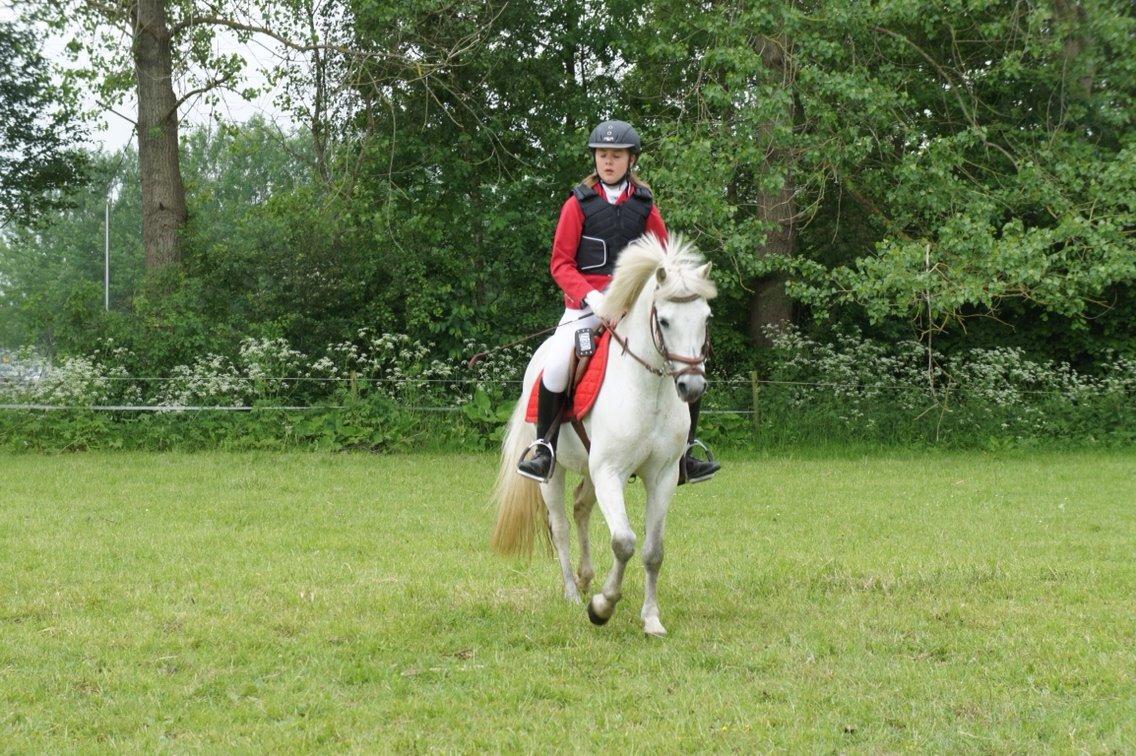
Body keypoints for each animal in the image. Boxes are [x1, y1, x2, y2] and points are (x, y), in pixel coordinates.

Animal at [490, 233, 716, 636]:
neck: (648, 390)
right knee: (561, 526)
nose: (691, 386)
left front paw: (651, 618)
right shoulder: (610, 471)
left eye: (706, 318)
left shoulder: (661, 476)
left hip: (592, 470)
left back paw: (584, 578)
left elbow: (653, 551)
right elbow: (624, 542)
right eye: (664, 320)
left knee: (581, 507)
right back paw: (572, 593)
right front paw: (602, 607)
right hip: (555, 473)